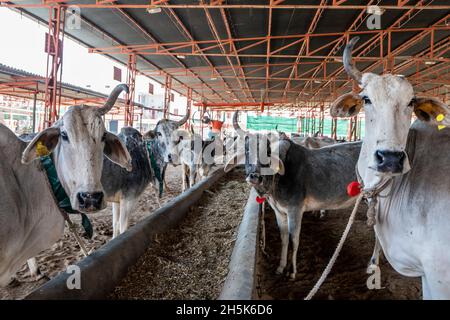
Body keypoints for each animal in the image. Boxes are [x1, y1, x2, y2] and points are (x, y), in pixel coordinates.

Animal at [225, 112, 362, 278]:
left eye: (268, 152)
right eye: (246, 150)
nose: (254, 177)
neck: (277, 179)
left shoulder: (295, 211)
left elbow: (294, 240)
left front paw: (292, 271)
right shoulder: (280, 212)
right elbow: (284, 239)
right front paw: (281, 267)